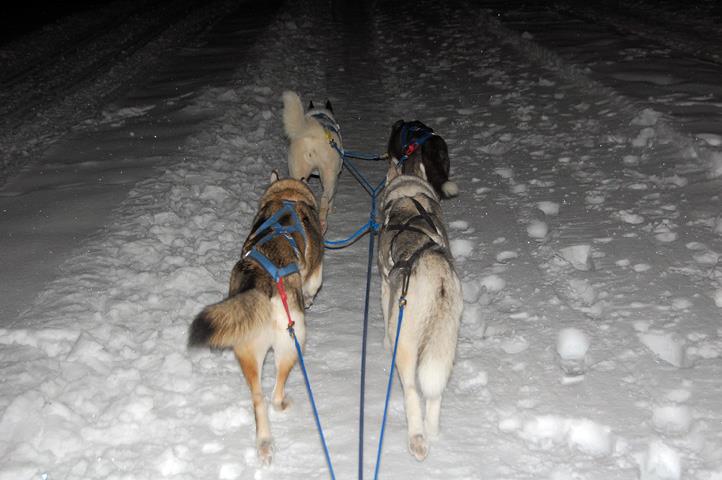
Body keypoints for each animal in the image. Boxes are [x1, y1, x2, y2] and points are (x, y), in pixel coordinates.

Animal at [187, 172, 322, 464]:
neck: (287, 196)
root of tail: (264, 287)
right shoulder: (316, 273)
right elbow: (313, 284)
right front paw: (310, 298)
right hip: (292, 344)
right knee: (274, 396)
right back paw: (282, 407)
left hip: (249, 351)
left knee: (259, 399)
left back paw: (264, 445)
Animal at [376, 162, 462, 462]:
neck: (409, 192)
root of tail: (437, 276)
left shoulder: (385, 288)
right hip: (444, 342)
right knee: (434, 394)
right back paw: (432, 431)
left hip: (407, 343)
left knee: (413, 393)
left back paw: (417, 439)